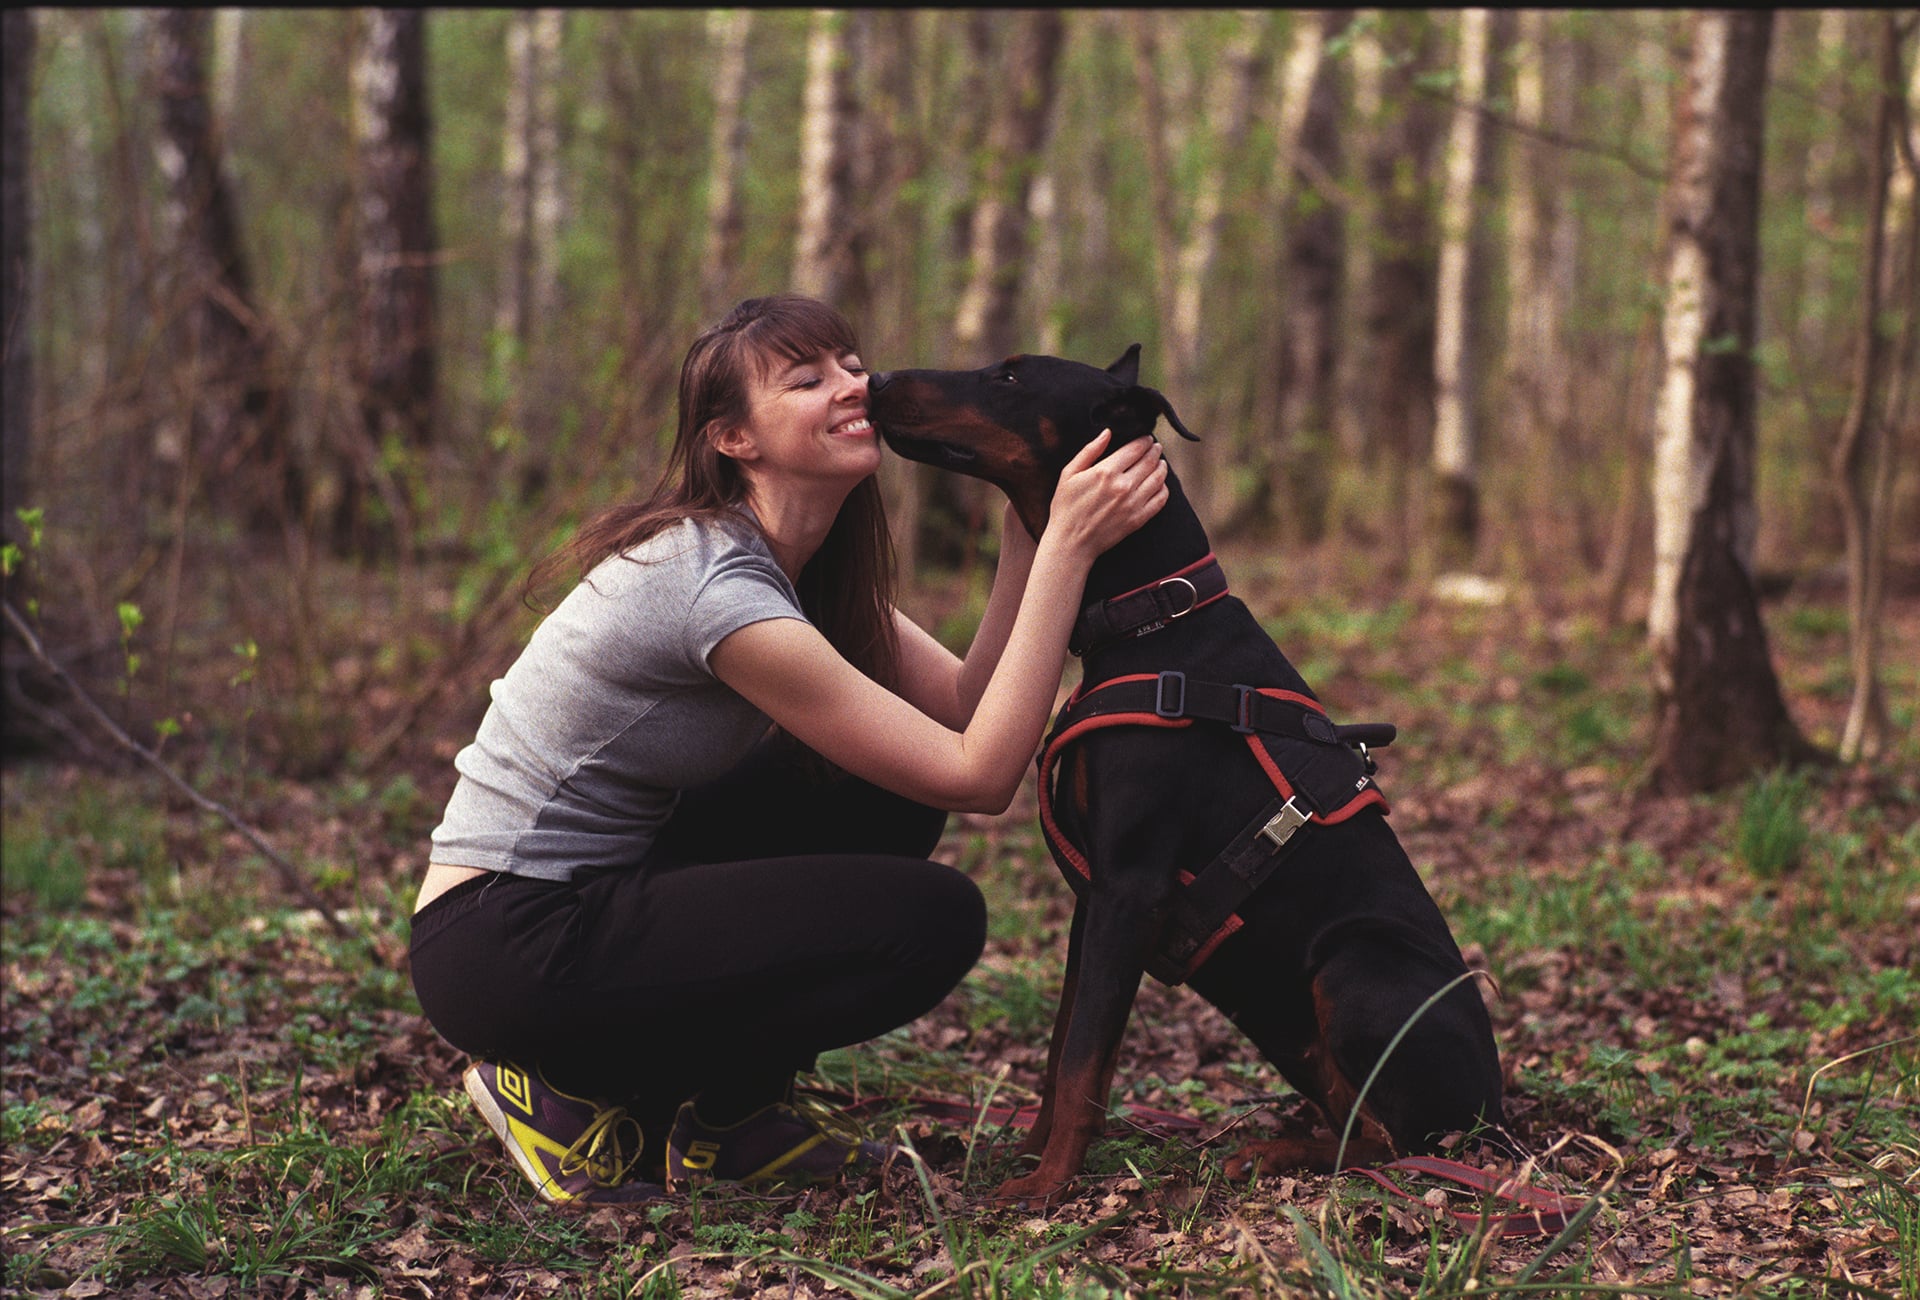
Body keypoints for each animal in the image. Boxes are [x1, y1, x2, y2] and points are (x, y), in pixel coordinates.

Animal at [875, 347, 1512, 1205]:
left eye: (1009, 377)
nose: (874, 381)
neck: (1155, 617)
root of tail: (1502, 1113)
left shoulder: (1131, 885)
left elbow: (1082, 1060)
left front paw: (1046, 1185)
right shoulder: (1095, 897)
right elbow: (1065, 1047)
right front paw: (1034, 1154)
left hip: (1358, 965)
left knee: (1404, 1145)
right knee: (1366, 1125)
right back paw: (1273, 1145)